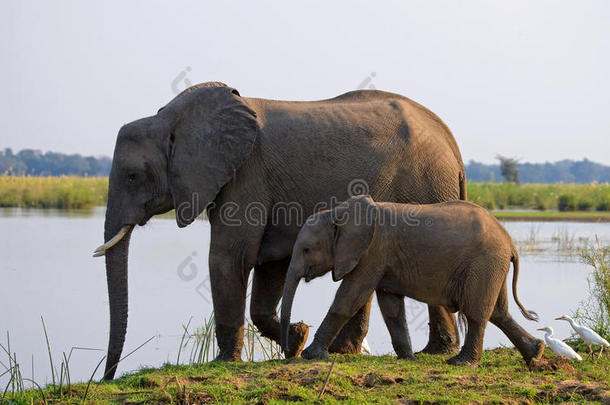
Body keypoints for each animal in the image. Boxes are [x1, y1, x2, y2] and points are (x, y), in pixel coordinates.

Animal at [94, 81, 466, 378]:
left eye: (132, 176)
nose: (106, 378)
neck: (170, 118)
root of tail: (452, 142)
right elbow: (269, 264)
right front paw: (297, 339)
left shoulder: (246, 175)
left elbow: (230, 258)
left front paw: (224, 362)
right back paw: (362, 351)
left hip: (425, 187)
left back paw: (434, 353)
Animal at [280, 196, 540, 366]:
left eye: (306, 250)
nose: (287, 351)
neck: (338, 213)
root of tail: (509, 241)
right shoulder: (382, 259)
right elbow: (391, 308)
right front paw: (409, 359)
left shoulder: (373, 251)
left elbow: (350, 297)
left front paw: (311, 356)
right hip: (492, 265)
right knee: (499, 313)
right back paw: (536, 353)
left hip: (484, 263)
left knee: (476, 312)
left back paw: (460, 363)